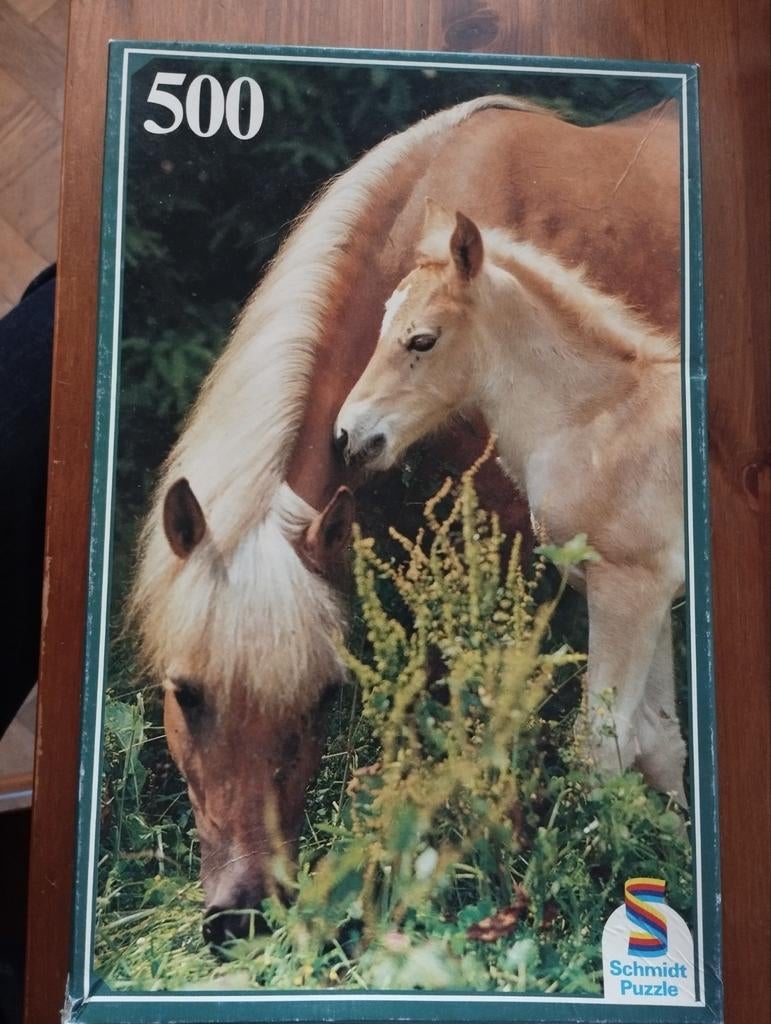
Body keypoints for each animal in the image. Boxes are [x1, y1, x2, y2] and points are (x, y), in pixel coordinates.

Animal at [334, 199, 687, 807]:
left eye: (422, 340)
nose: (349, 436)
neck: (600, 421)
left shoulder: (629, 590)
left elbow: (604, 741)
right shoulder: (655, 595)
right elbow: (662, 740)